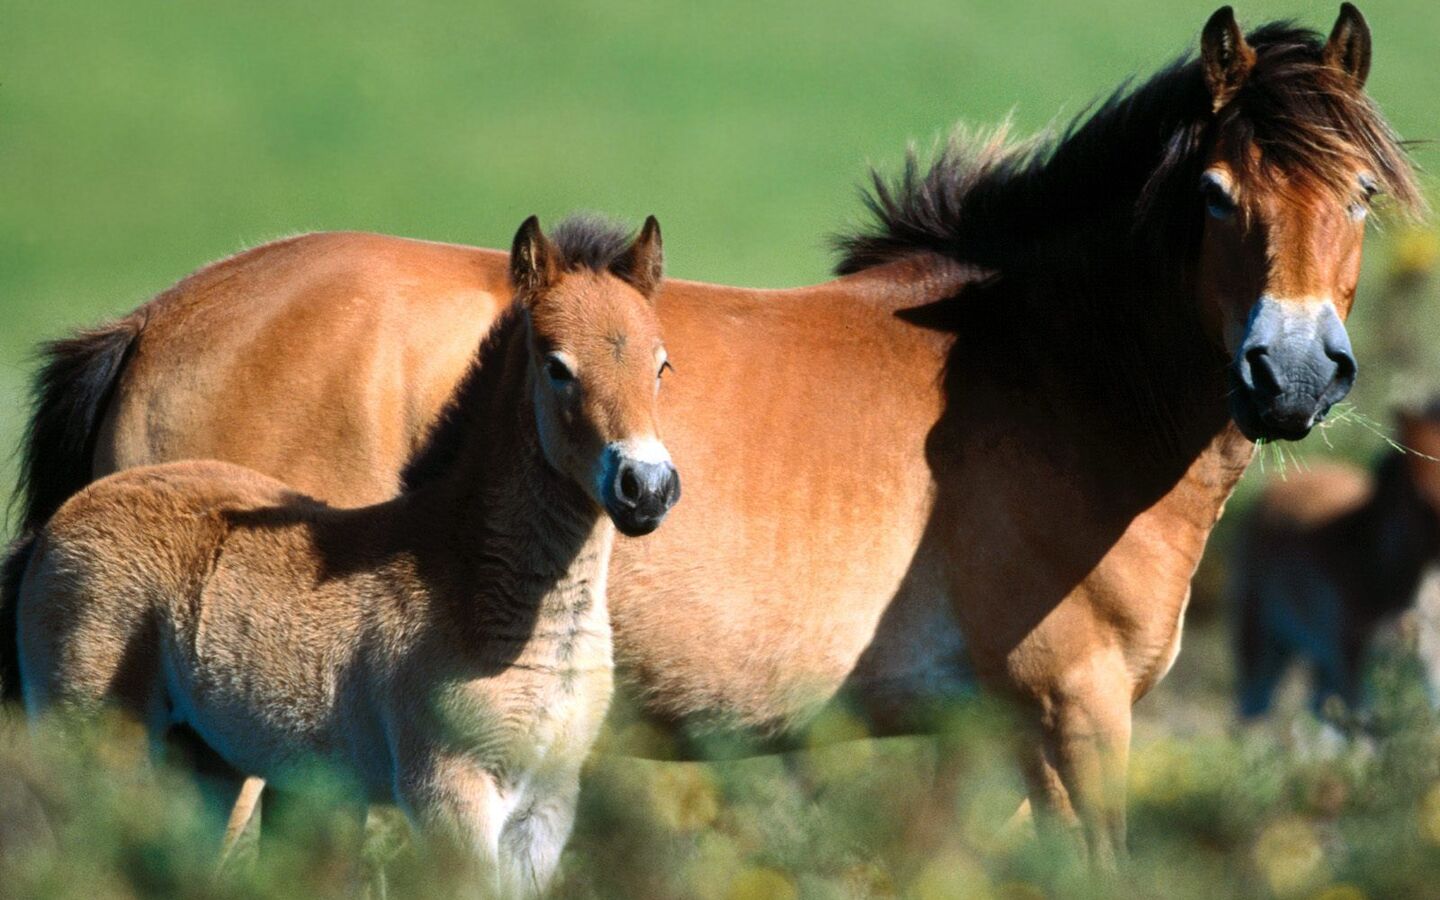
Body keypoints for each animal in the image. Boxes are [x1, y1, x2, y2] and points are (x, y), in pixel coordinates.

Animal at [12, 214, 679, 896]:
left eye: (660, 365)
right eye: (557, 366)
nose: (646, 487)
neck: (468, 576)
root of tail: (60, 522)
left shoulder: (546, 806)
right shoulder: (448, 792)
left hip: (204, 759)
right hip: (92, 740)